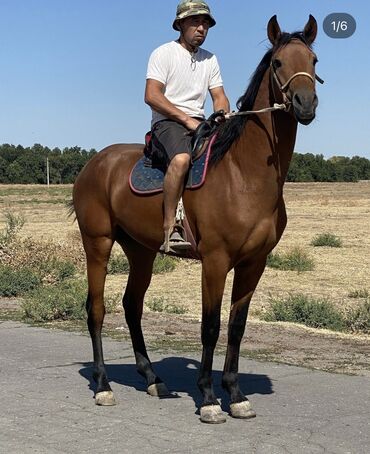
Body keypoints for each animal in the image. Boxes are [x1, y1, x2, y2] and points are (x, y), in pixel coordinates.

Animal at [71, 14, 320, 424]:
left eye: (313, 60)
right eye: (278, 62)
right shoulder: (216, 261)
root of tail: (94, 164)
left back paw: (152, 378)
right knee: (96, 309)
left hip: (141, 252)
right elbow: (210, 327)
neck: (243, 173)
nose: (305, 103)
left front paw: (235, 394)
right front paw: (207, 398)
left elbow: (236, 327)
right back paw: (103, 385)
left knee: (132, 306)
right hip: (98, 244)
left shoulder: (254, 263)